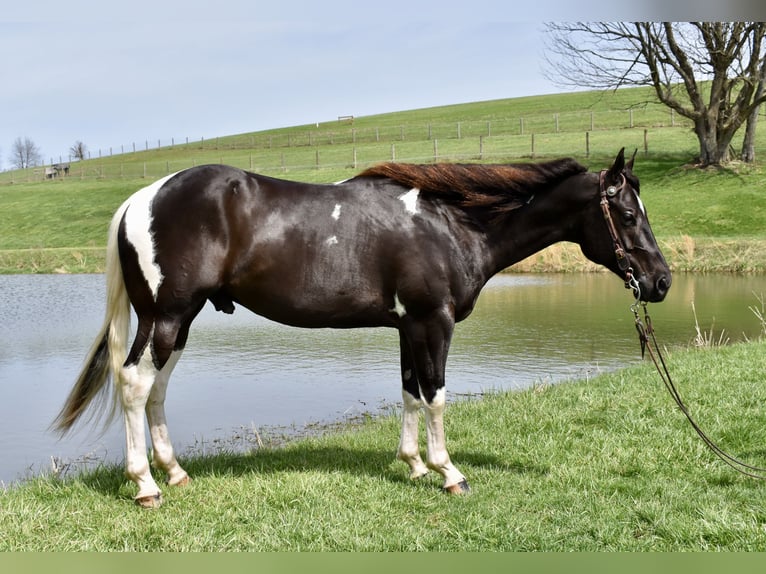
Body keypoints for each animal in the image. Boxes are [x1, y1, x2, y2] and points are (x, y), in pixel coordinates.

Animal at [53, 148, 671, 507]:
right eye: (629, 214)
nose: (661, 282)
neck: (451, 224)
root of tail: (141, 199)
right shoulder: (433, 322)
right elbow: (436, 395)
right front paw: (449, 473)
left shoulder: (408, 327)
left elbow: (410, 391)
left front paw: (414, 466)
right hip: (168, 316)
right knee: (135, 385)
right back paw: (145, 486)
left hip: (178, 322)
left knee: (155, 390)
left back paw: (175, 474)